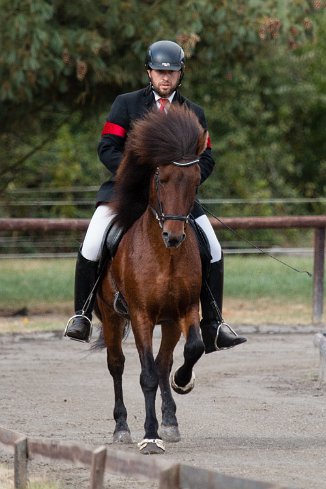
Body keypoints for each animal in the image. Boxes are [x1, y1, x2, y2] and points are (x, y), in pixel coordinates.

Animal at [97, 105, 208, 456]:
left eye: (195, 180)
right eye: (160, 178)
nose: (173, 236)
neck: (165, 257)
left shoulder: (185, 310)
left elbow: (193, 349)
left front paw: (182, 382)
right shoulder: (141, 315)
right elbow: (145, 375)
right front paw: (149, 435)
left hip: (169, 322)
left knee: (163, 363)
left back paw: (170, 420)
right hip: (111, 316)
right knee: (117, 364)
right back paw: (121, 427)